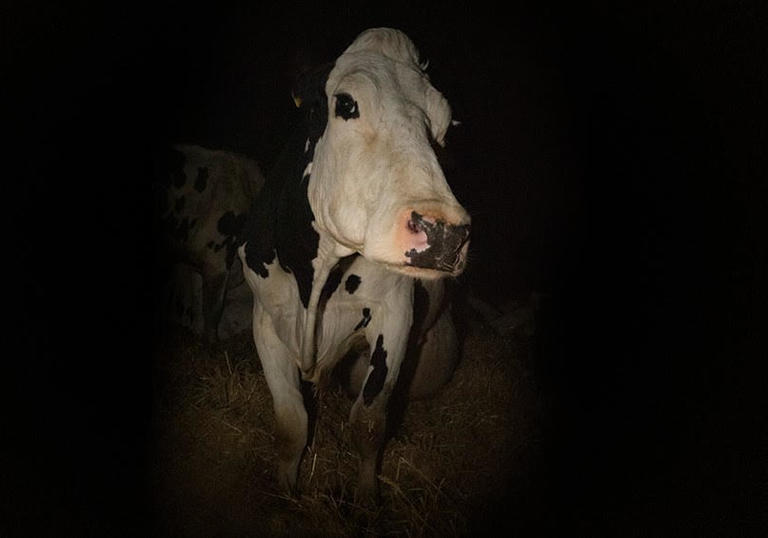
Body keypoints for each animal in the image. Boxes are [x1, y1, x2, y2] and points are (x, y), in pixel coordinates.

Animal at [240, 28, 472, 498]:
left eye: (443, 126)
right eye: (346, 103)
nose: (445, 233)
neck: (315, 280)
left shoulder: (394, 314)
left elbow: (368, 422)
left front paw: (366, 499)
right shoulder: (265, 317)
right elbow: (291, 423)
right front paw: (285, 492)